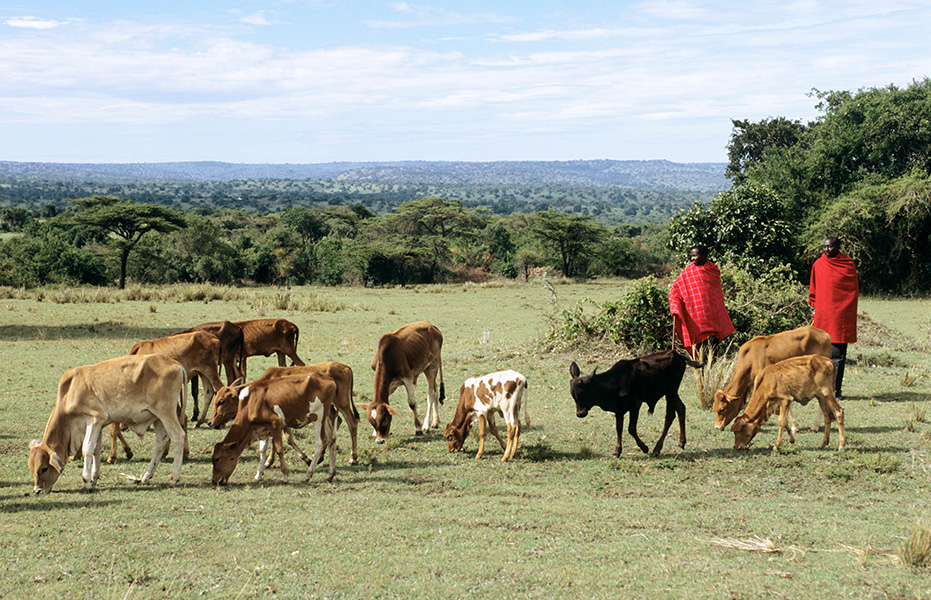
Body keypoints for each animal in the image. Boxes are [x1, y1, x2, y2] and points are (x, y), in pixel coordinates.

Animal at [28, 354, 187, 494]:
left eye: (44, 468)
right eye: (32, 468)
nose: (37, 490)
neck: (70, 390)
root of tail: (177, 365)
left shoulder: (94, 419)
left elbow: (87, 449)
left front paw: (86, 482)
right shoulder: (99, 424)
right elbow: (96, 449)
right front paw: (94, 478)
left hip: (166, 413)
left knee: (178, 437)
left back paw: (174, 479)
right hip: (157, 418)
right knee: (161, 442)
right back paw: (145, 477)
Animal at [208, 360, 360, 464]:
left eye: (221, 401)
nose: (210, 422)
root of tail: (346, 367)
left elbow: (282, 439)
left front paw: (270, 461)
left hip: (343, 403)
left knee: (352, 423)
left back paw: (352, 458)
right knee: (337, 421)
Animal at [568, 350, 708, 458]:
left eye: (584, 393)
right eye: (573, 395)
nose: (580, 413)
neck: (613, 383)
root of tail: (677, 354)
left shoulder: (635, 406)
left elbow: (631, 429)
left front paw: (644, 448)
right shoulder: (619, 410)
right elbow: (619, 428)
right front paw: (617, 451)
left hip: (671, 392)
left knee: (670, 416)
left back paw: (657, 449)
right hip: (672, 392)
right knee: (681, 409)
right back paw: (681, 443)